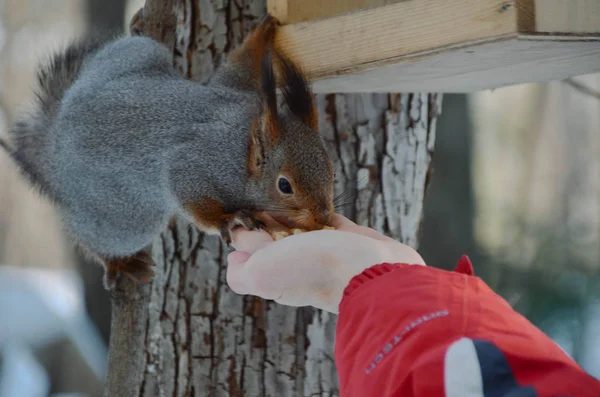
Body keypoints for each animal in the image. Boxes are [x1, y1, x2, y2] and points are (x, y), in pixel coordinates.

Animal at [0, 16, 336, 288]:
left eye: (332, 172)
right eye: (284, 186)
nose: (323, 217)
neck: (240, 144)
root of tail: (54, 141)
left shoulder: (232, 89)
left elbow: (236, 67)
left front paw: (262, 34)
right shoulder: (194, 165)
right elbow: (190, 194)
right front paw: (230, 219)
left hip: (133, 54)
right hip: (124, 216)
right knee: (94, 235)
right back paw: (117, 262)